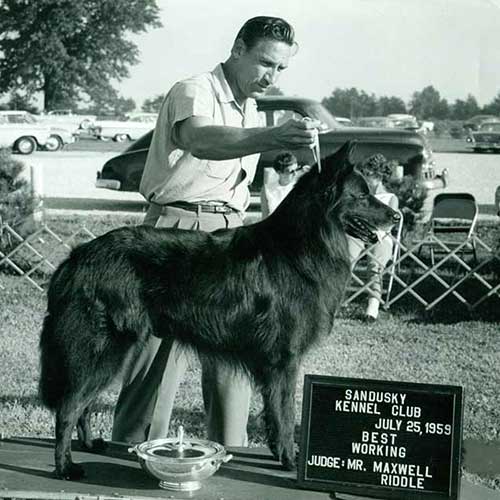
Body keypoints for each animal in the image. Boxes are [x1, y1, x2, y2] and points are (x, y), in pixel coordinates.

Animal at [38, 142, 398, 480]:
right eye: (363, 195)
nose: (395, 217)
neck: (300, 245)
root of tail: (76, 258)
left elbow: (274, 414)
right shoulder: (284, 360)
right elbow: (284, 414)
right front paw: (290, 460)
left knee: (83, 403)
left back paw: (88, 444)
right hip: (106, 348)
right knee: (69, 406)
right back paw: (65, 466)